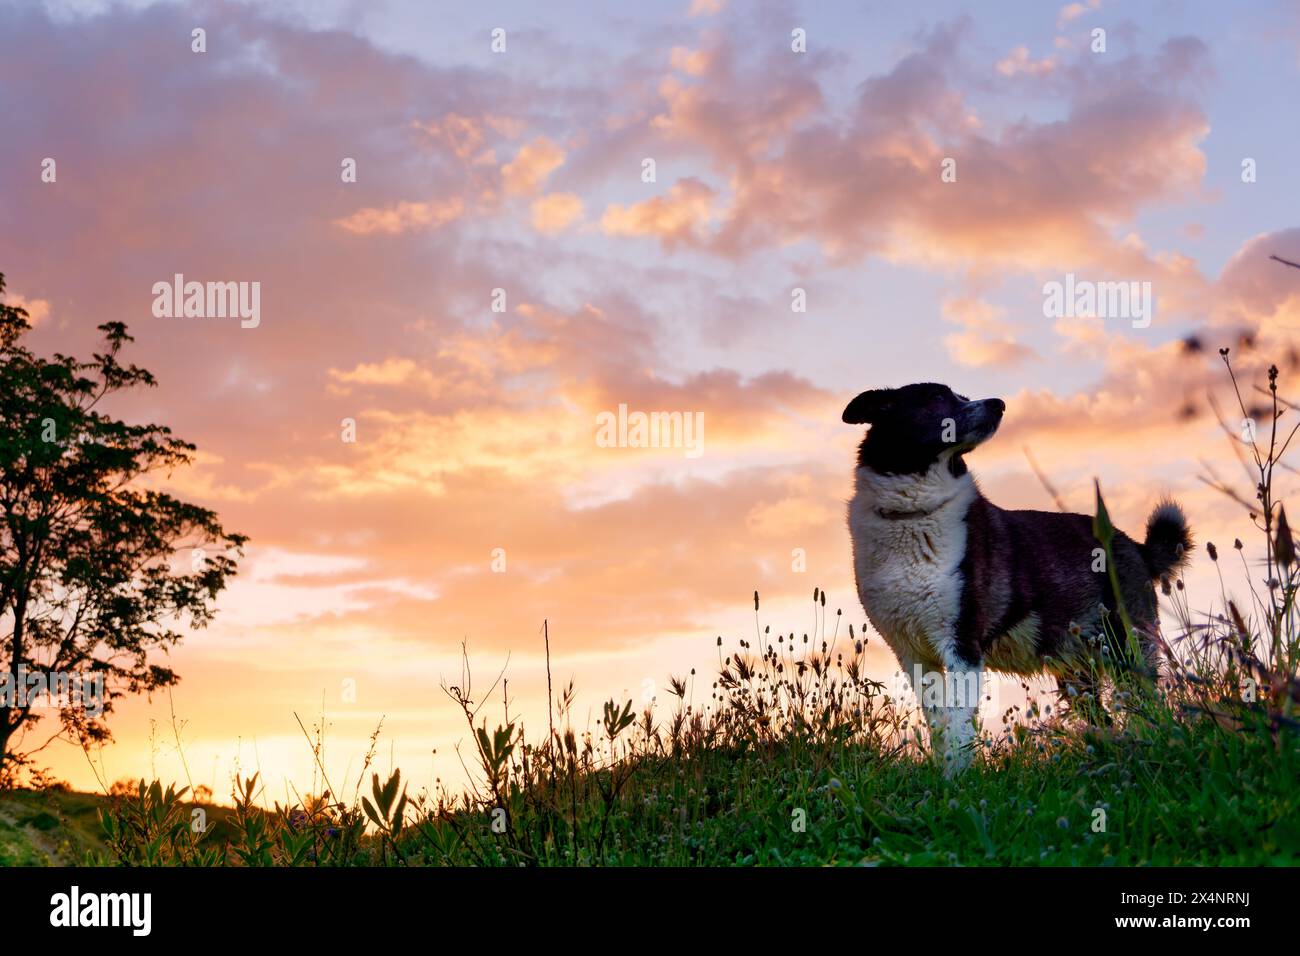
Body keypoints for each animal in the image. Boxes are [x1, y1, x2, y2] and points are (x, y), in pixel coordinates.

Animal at [842, 382, 1190, 770]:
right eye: (936, 397)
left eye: (960, 396)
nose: (999, 404)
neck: (912, 514)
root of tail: (1137, 547)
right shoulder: (914, 655)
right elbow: (939, 724)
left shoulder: (961, 644)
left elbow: (959, 725)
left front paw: (957, 777)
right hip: (1076, 671)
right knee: (1106, 719)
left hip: (1128, 648)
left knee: (1149, 708)